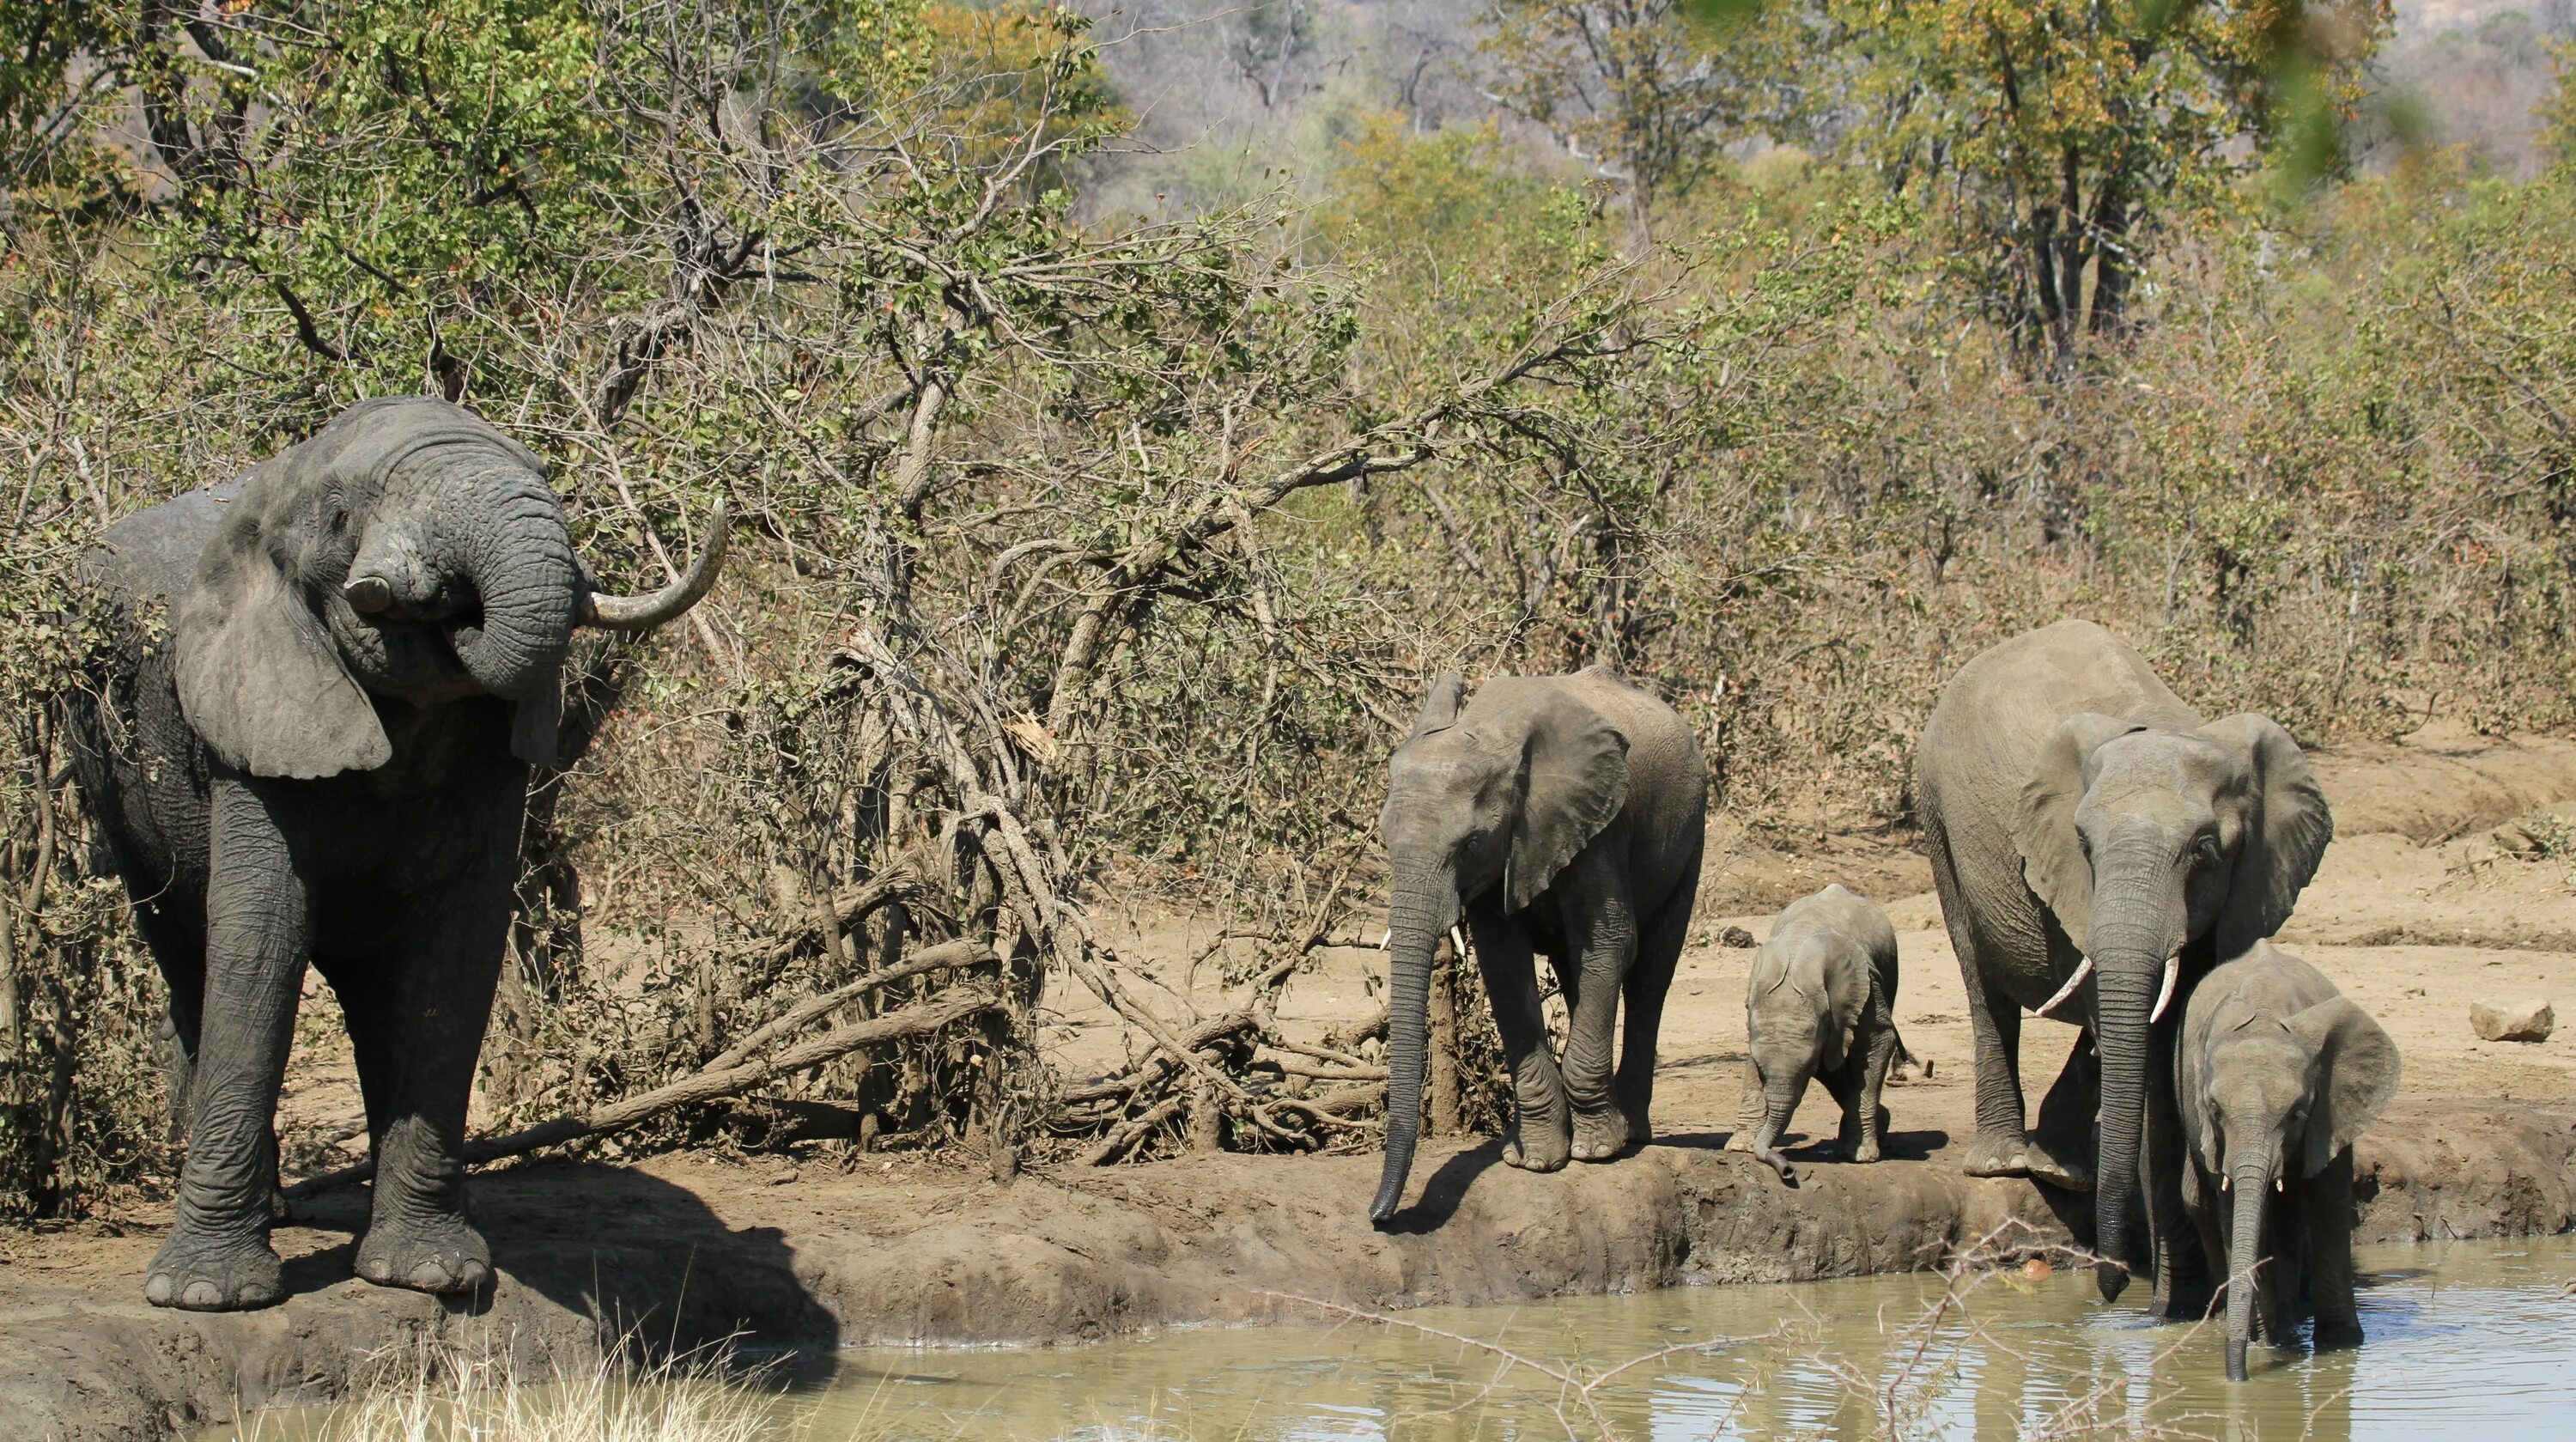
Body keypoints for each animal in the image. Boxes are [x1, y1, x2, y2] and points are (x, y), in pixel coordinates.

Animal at [63, 399, 726, 1313]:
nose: (444, 599)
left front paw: (433, 1275)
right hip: (108, 773)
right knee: (185, 953)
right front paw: (206, 1296)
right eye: (342, 519)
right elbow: (260, 944)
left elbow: (454, 957)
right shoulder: (251, 721)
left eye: (543, 475)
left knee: (375, 993)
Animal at [1370, 664, 1710, 1226]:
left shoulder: (1599, 828)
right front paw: (1531, 1159)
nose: (1379, 1218)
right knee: (1578, 974)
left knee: (1650, 976)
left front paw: (1595, 1152)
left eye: (1470, 844)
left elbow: (1610, 941)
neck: (1492, 736)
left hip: (1691, 832)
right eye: (1383, 839)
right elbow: (1504, 965)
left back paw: (1632, 1133)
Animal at [1721, 885, 1906, 1189]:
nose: (1787, 1171)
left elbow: (1878, 1041)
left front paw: (1862, 1156)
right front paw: (1740, 1147)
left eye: (1805, 1067)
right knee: (1833, 1068)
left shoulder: (1866, 984)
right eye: (1762, 1071)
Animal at [1917, 612, 2339, 1313]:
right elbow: (2137, 1052)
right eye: (2084, 845)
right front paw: (2175, 1299)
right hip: (1936, 818)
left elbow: (2173, 1034)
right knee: (1983, 985)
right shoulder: (2068, 882)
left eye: (2204, 851)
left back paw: (2061, 1169)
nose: (2110, 1285)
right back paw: (2007, 1163)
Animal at [2184, 942, 2401, 1380]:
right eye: (2215, 1110)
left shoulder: (2331, 1111)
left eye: (2297, 1113)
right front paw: (2266, 1342)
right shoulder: (2212, 1133)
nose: (2237, 1378)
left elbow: (2330, 1204)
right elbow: (2234, 1210)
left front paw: (2340, 1344)